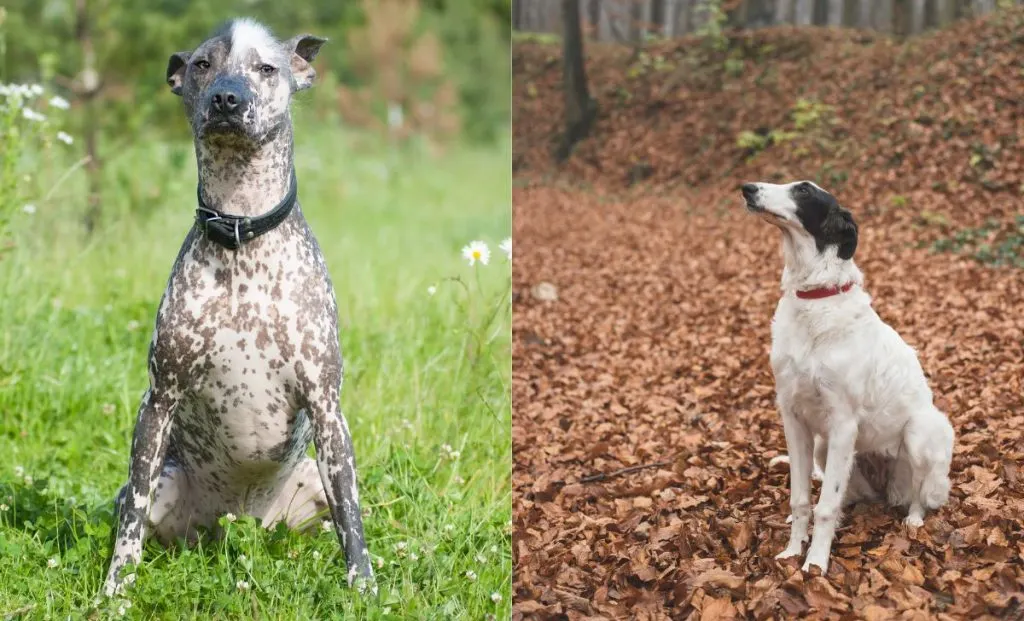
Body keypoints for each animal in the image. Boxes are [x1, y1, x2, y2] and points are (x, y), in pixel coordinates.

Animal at [745, 180, 950, 573]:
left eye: (804, 191)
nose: (747, 188)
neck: (815, 299)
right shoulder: (793, 417)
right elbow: (801, 500)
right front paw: (793, 550)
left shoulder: (842, 422)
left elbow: (825, 508)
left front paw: (815, 564)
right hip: (826, 449)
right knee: (851, 494)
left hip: (919, 434)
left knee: (920, 493)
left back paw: (914, 518)